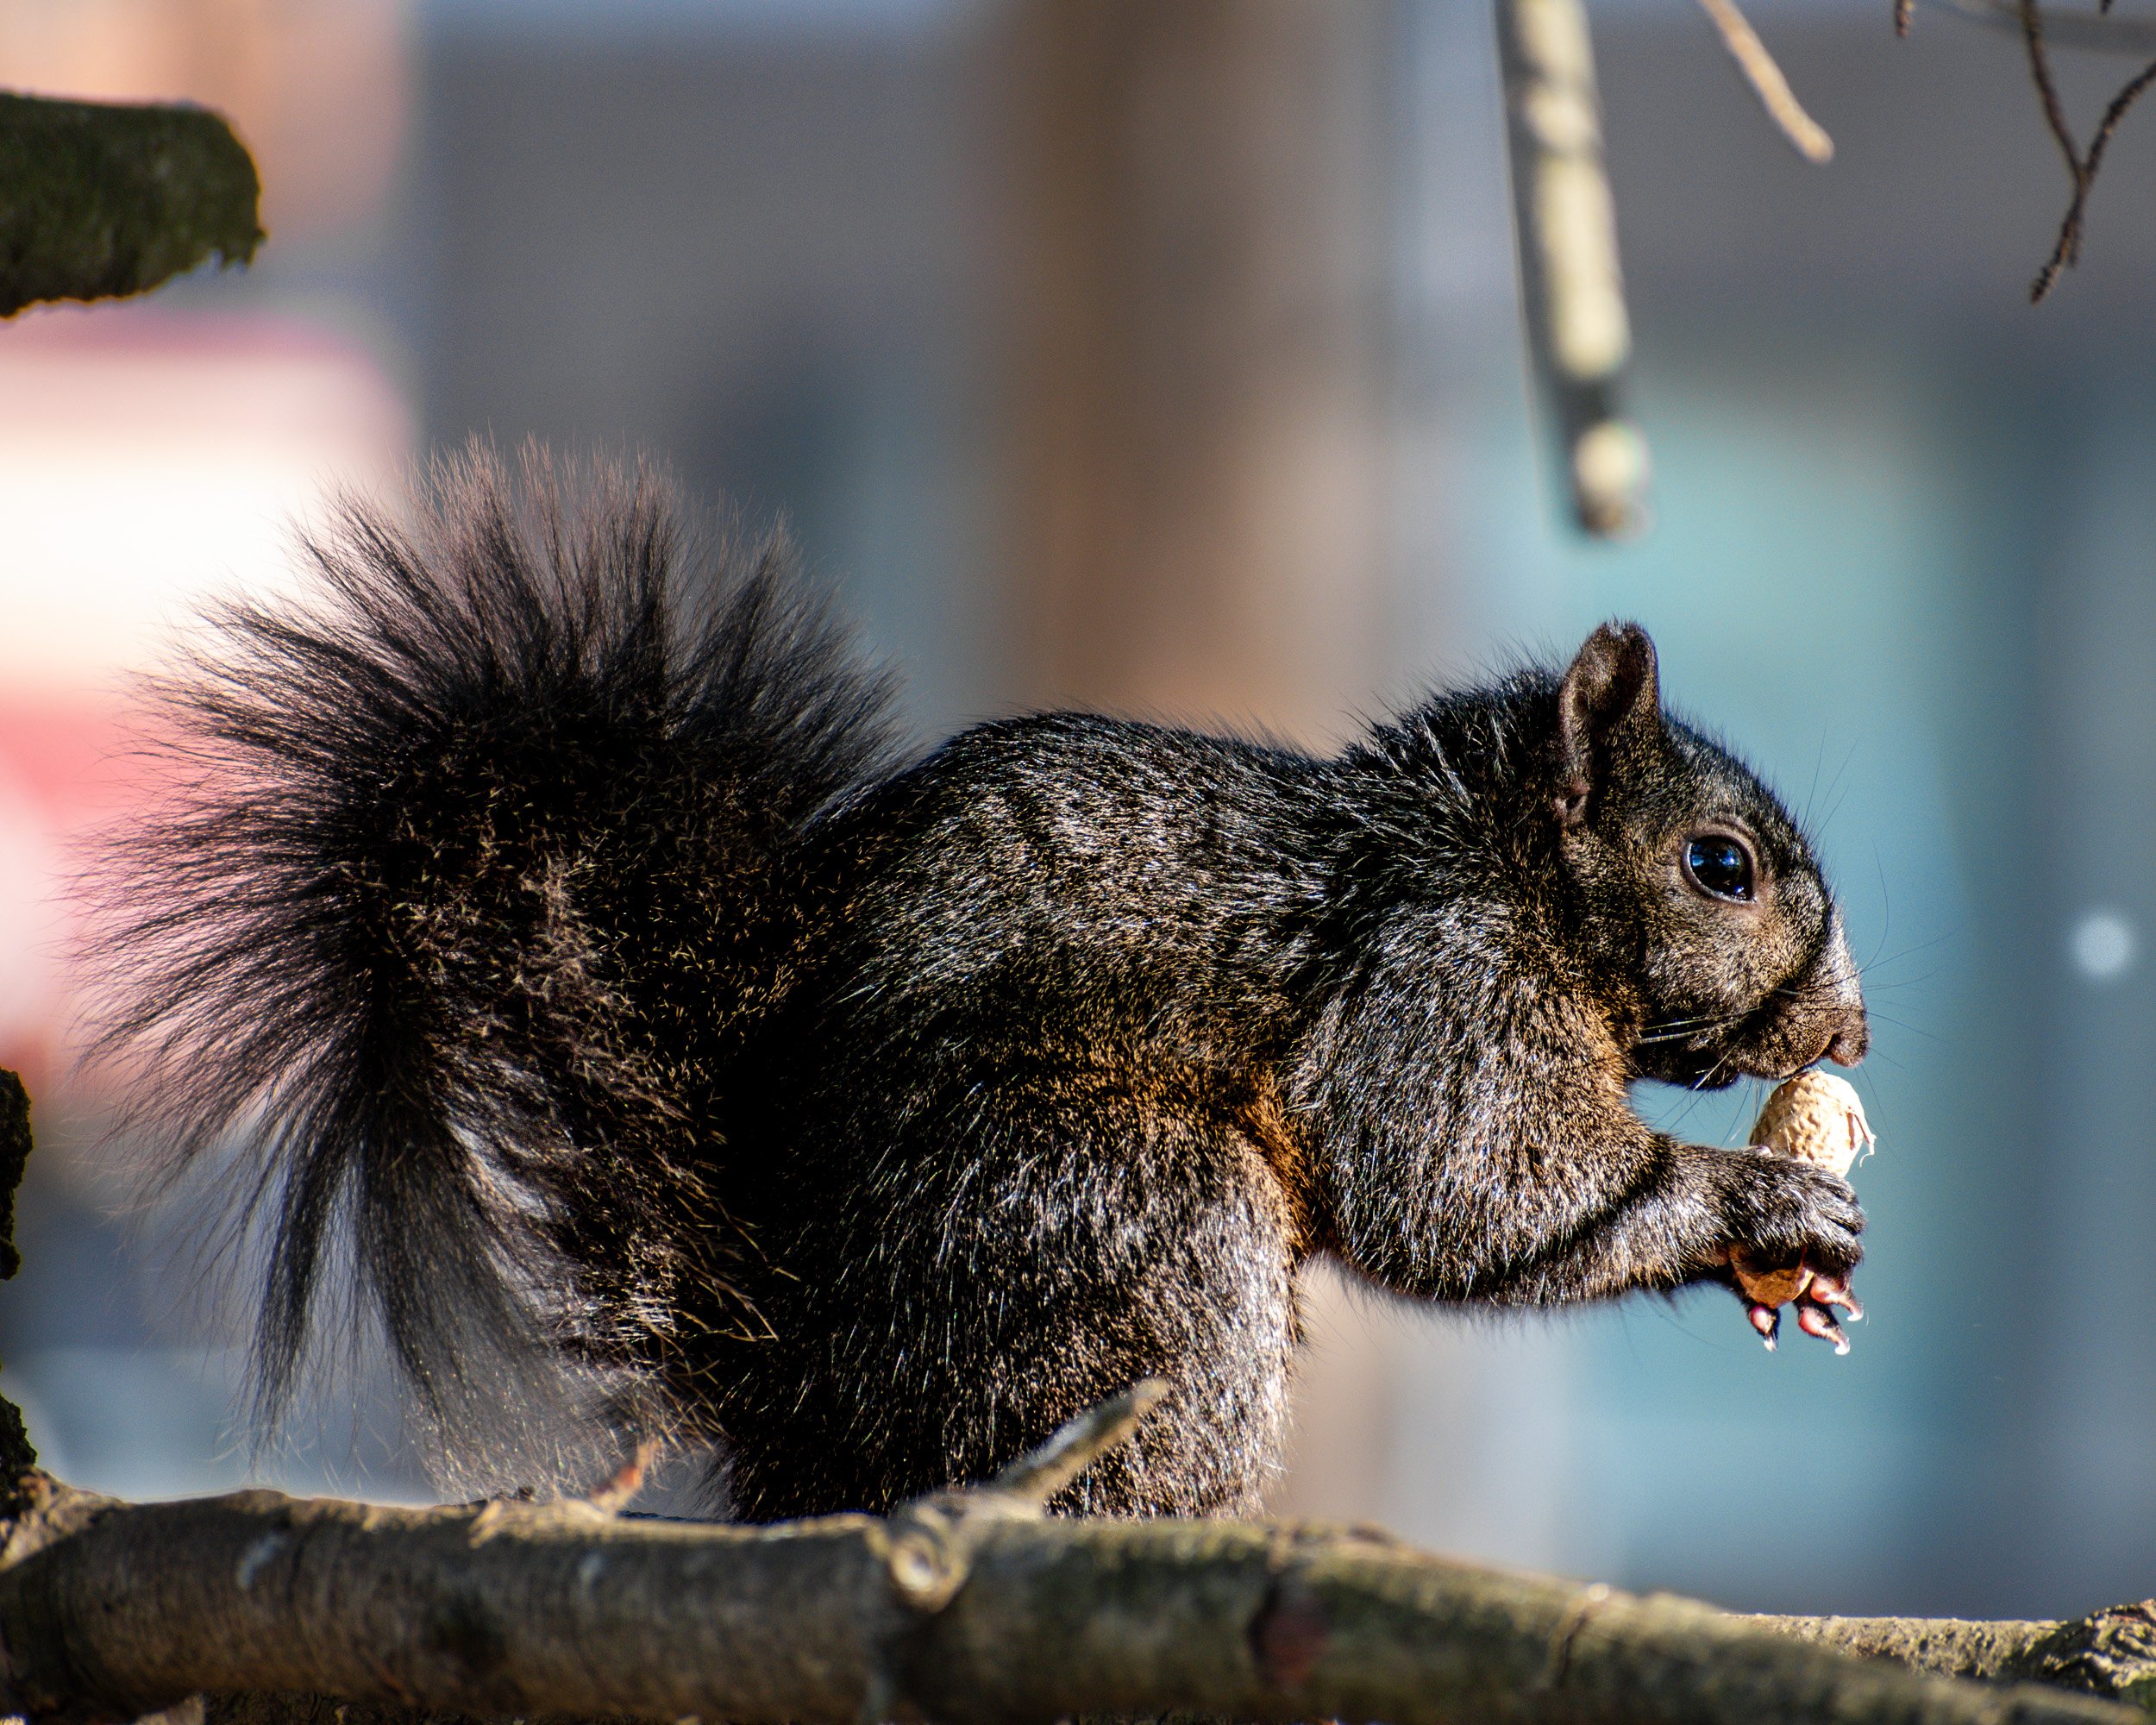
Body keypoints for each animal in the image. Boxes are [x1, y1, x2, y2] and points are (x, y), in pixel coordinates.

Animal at [90, 447, 1868, 1521]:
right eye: (1721, 865)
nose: (1853, 1027)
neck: (1490, 864)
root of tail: (805, 1410)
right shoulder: (1432, 979)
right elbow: (1465, 1188)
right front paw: (1757, 1201)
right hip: (1113, 1217)